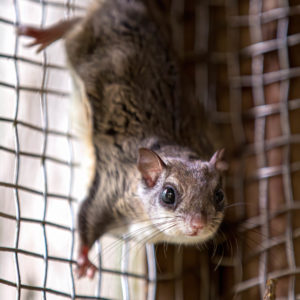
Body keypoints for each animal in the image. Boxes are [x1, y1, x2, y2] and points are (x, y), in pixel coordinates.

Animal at [18, 0, 227, 278]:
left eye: (219, 196)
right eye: (168, 195)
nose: (198, 224)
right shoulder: (109, 188)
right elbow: (86, 218)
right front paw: (84, 260)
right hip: (85, 40)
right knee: (75, 25)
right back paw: (46, 33)